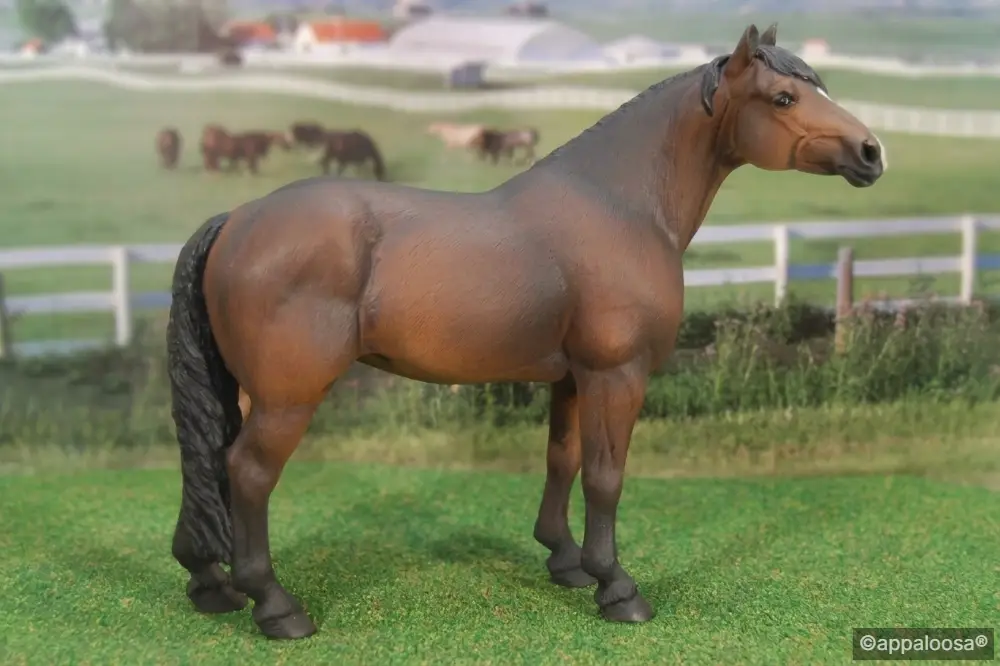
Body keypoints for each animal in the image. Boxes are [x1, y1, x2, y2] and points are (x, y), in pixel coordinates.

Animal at [166, 24, 885, 640]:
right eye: (784, 96)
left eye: (819, 85)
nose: (872, 152)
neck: (619, 207)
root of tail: (238, 220)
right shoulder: (616, 375)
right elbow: (606, 476)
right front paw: (617, 587)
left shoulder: (571, 379)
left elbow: (562, 461)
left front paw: (565, 561)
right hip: (289, 397)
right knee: (249, 472)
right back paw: (274, 606)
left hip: (253, 391)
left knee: (213, 464)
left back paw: (211, 585)